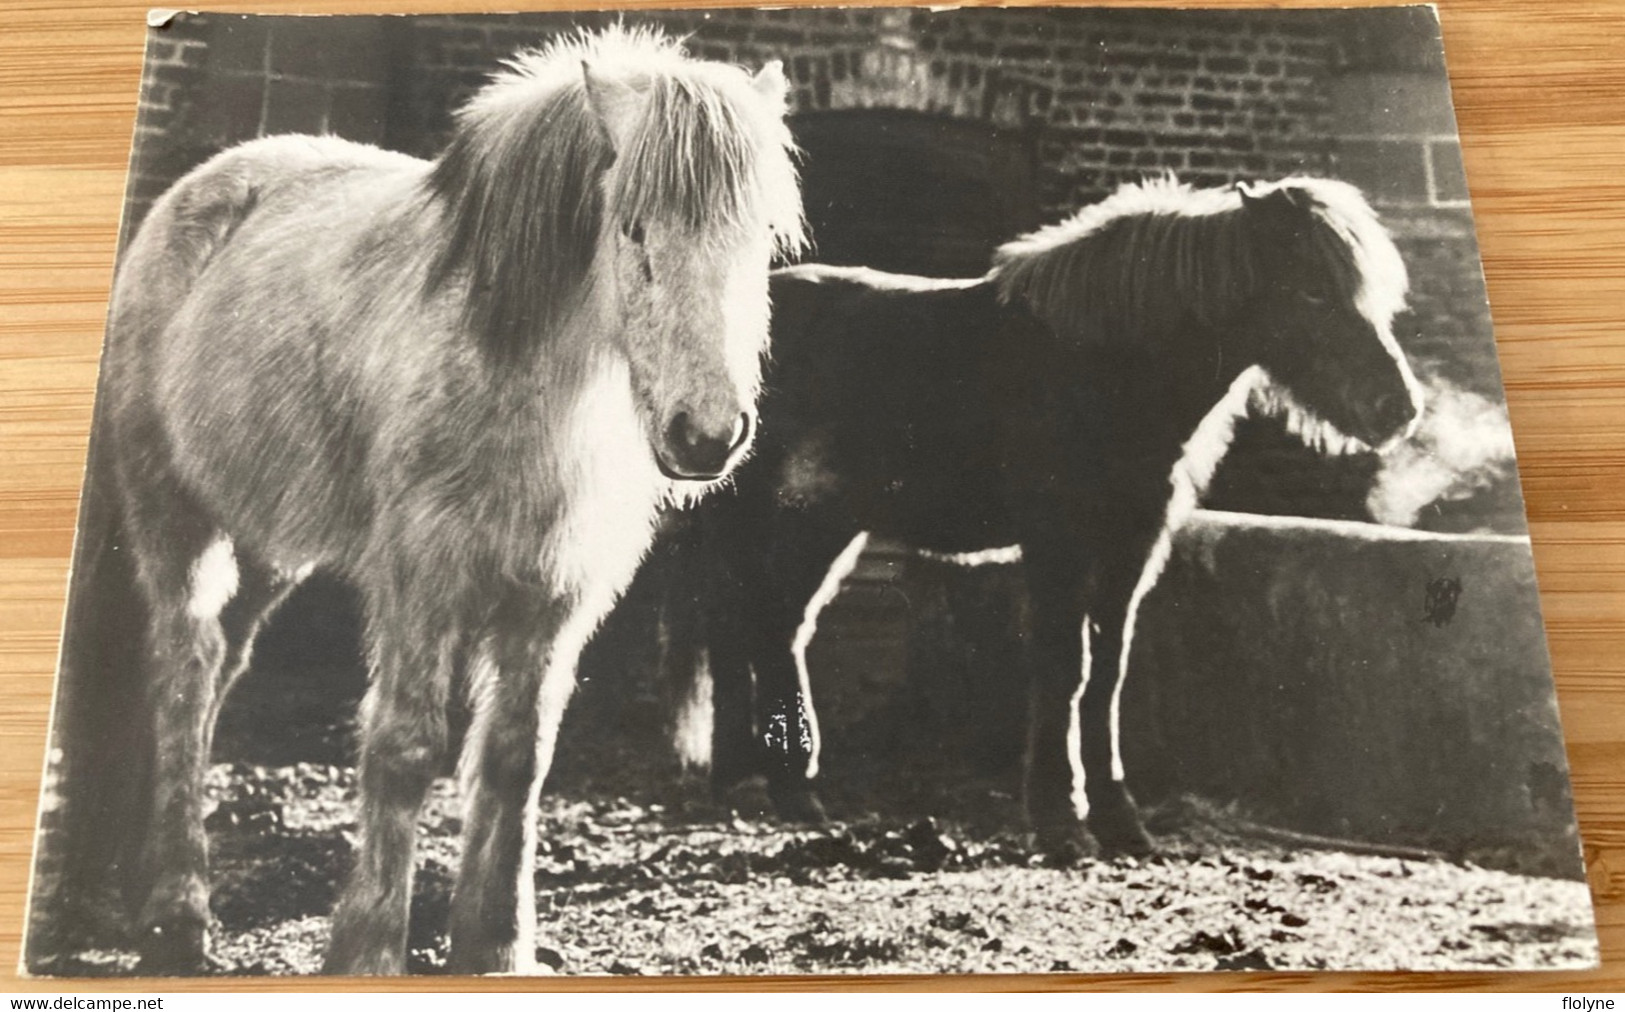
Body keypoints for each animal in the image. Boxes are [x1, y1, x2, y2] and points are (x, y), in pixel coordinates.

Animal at [36, 27, 799, 981]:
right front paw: (365, 948)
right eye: (632, 230)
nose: (707, 434)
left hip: (267, 546)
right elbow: (404, 749)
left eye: (761, 237)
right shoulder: (421, 581)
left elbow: (516, 757)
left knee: (219, 669)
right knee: (183, 671)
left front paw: (497, 945)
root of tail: (190, 197)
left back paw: (142, 881)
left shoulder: (554, 599)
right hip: (174, 518)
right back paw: (177, 911)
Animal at [666, 180, 1417, 857]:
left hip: (824, 524)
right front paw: (1059, 820)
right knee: (739, 625)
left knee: (774, 628)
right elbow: (1064, 666)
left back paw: (784, 789)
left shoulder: (1129, 546)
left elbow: (1108, 672)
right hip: (761, 521)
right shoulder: (1058, 542)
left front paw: (1120, 822)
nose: (1397, 407)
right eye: (1311, 290)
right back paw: (753, 782)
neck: (1102, 367)